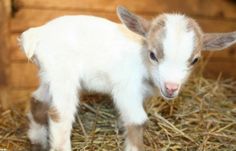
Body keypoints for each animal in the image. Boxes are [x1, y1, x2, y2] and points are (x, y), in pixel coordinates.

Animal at [19, 5, 236, 151]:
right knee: (59, 114)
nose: (171, 87)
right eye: (153, 55)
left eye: (195, 60)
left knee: (37, 100)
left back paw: (37, 141)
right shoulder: (126, 89)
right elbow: (137, 120)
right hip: (63, 76)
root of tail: (36, 34)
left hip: (49, 74)